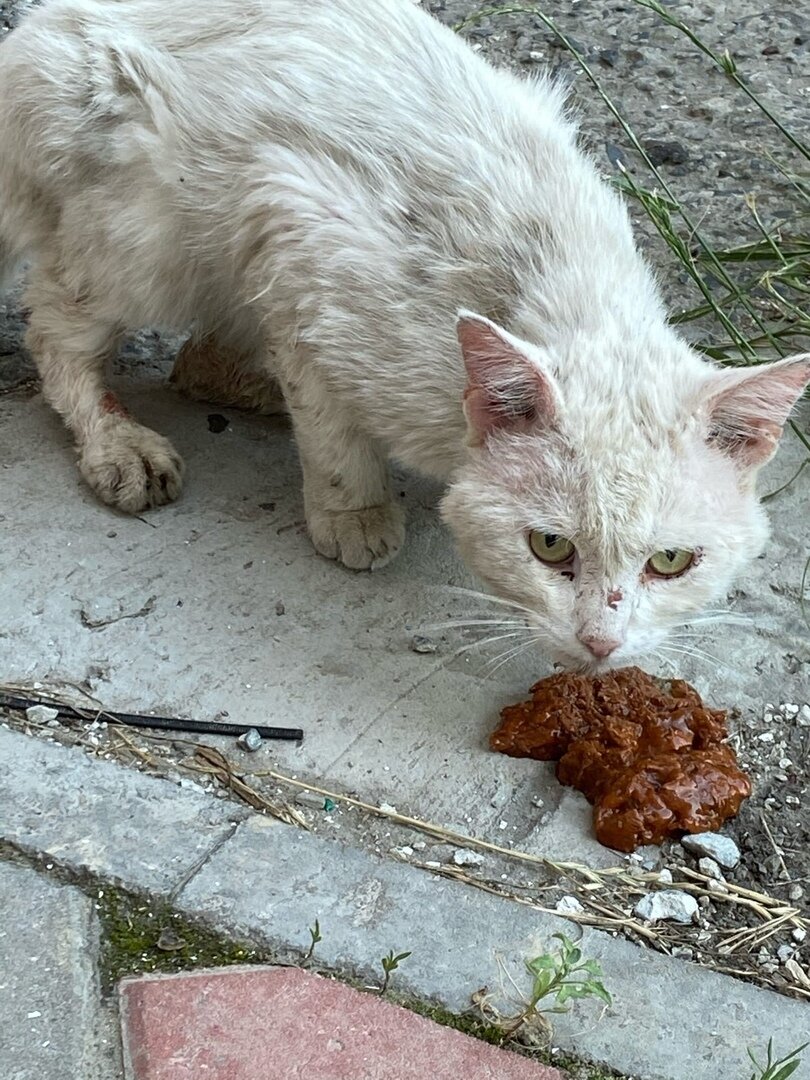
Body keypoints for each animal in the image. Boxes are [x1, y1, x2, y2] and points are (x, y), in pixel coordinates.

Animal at [0, 2, 807, 665]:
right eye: (549, 546)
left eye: (671, 562)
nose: (600, 644)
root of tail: (31, 33)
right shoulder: (296, 233)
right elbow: (329, 427)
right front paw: (352, 510)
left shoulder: (277, 243)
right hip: (145, 233)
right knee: (55, 324)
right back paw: (119, 443)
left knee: (198, 359)